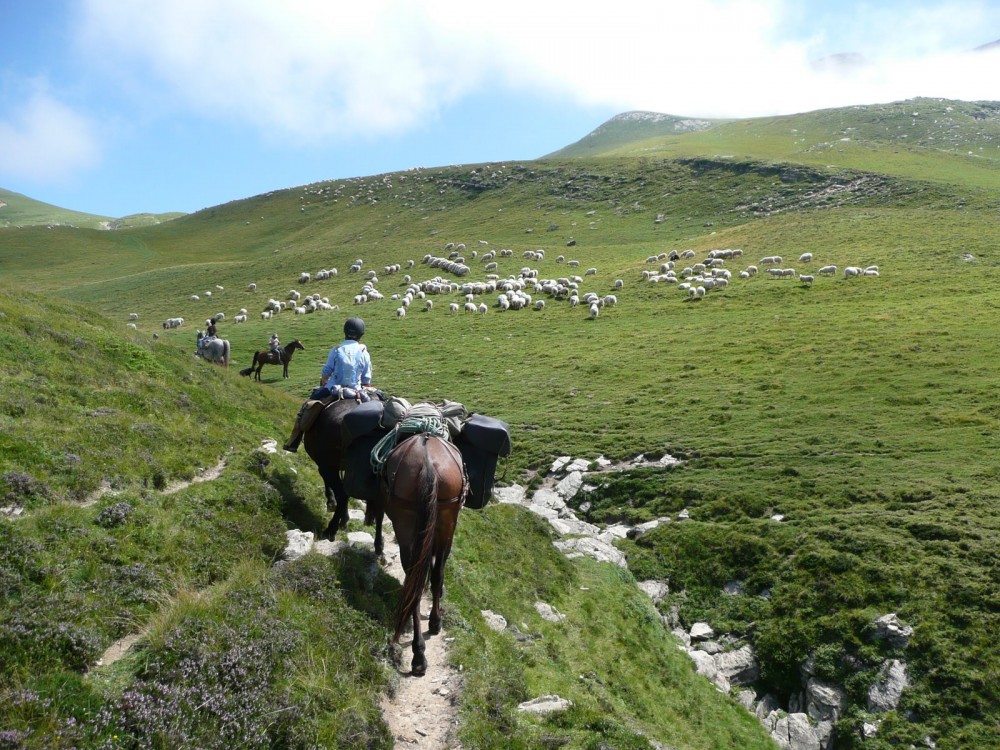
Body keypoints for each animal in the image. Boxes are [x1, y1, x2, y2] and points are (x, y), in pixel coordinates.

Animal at [380, 432, 466, 680]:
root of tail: (427, 462)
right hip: (444, 519)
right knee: (430, 575)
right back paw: (427, 639)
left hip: (406, 520)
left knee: (414, 580)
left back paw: (418, 655)